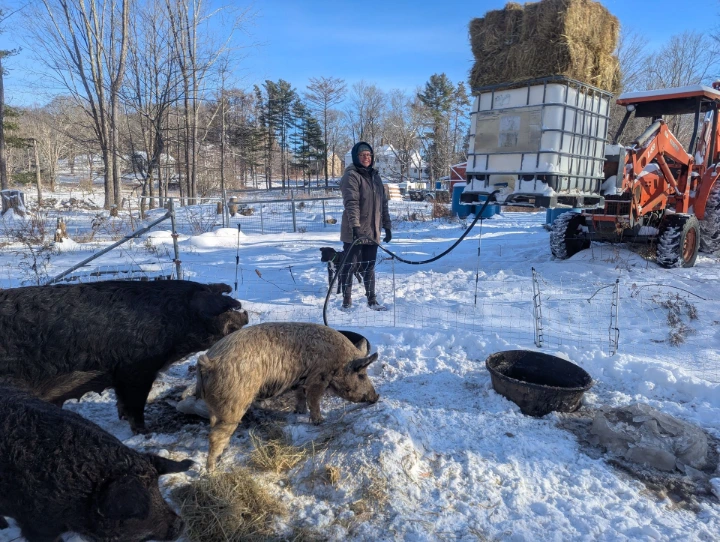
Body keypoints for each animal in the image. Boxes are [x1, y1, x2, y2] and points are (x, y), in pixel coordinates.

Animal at [0, 280, 249, 433]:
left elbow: (121, 401)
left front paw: (122, 419)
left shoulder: (120, 375)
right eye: (223, 306)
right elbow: (135, 403)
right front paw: (145, 432)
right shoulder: (136, 369)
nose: (243, 312)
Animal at [196, 322, 379, 470]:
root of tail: (210, 363)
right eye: (361, 375)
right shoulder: (318, 378)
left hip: (214, 406)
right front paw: (320, 421)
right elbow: (314, 400)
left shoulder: (300, 381)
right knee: (215, 436)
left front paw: (299, 412)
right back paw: (212, 470)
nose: (376, 396)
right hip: (234, 403)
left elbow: (300, 396)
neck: (338, 362)